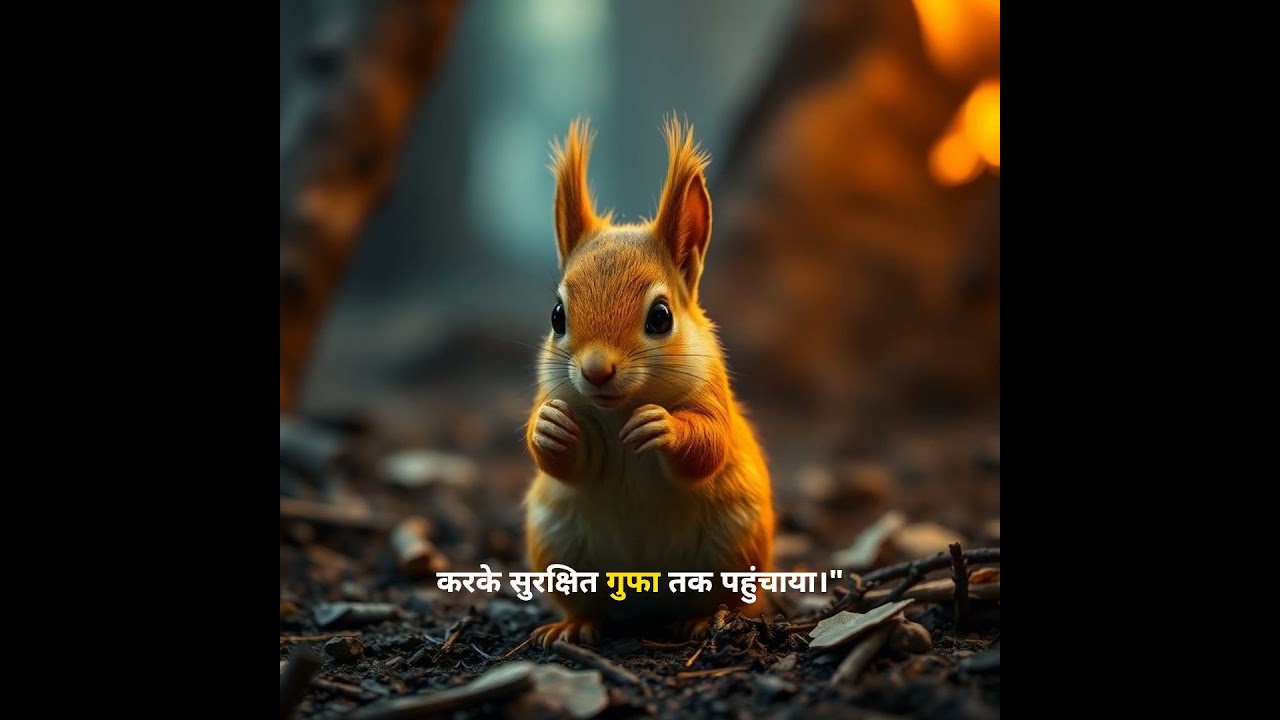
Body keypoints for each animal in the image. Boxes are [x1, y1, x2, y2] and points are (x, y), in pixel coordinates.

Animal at [522, 116, 775, 647]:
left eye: (661, 317)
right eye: (556, 316)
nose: (596, 370)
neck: (620, 406)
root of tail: (645, 595)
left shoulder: (712, 394)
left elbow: (709, 445)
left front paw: (664, 428)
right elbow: (566, 462)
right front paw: (549, 428)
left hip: (734, 548)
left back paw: (704, 619)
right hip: (559, 546)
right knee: (588, 604)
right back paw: (574, 625)